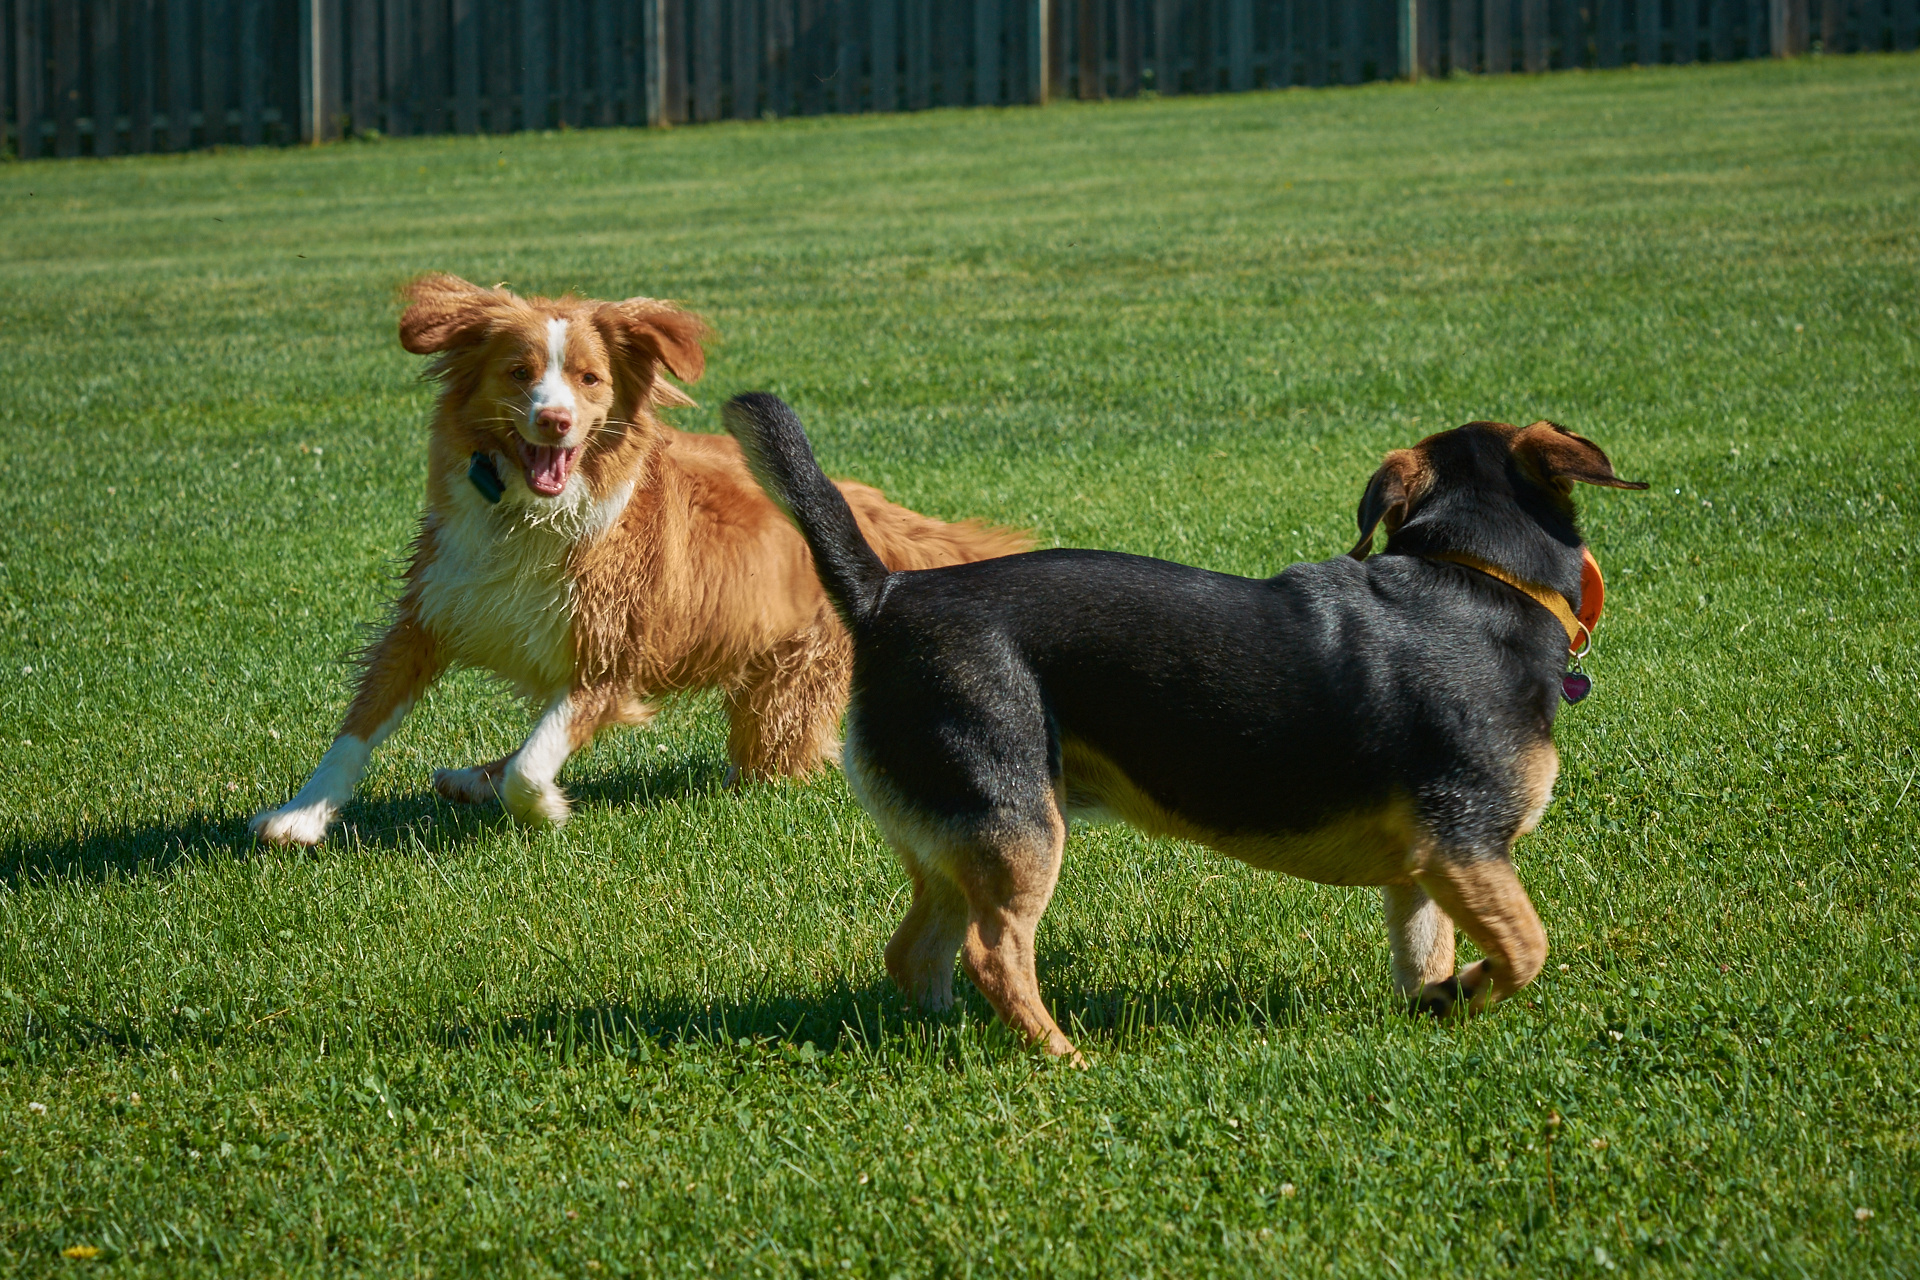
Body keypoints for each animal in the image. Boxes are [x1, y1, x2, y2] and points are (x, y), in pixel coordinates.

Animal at [257, 276, 1036, 844]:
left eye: (590, 379)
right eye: (518, 372)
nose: (554, 420)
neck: (529, 517)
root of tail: (870, 514)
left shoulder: (609, 656)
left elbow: (535, 761)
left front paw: (547, 811)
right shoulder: (432, 611)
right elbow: (357, 728)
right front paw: (299, 817)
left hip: (787, 693)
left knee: (771, 762)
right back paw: (467, 778)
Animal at [721, 393, 1651, 1059]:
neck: (1477, 576)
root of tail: (886, 596)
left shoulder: (1425, 863)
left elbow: (1425, 953)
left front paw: (1438, 1002)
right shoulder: (1467, 844)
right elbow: (1527, 948)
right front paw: (1466, 992)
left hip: (958, 837)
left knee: (916, 953)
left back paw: (949, 1038)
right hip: (1018, 824)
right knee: (994, 954)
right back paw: (1063, 1057)